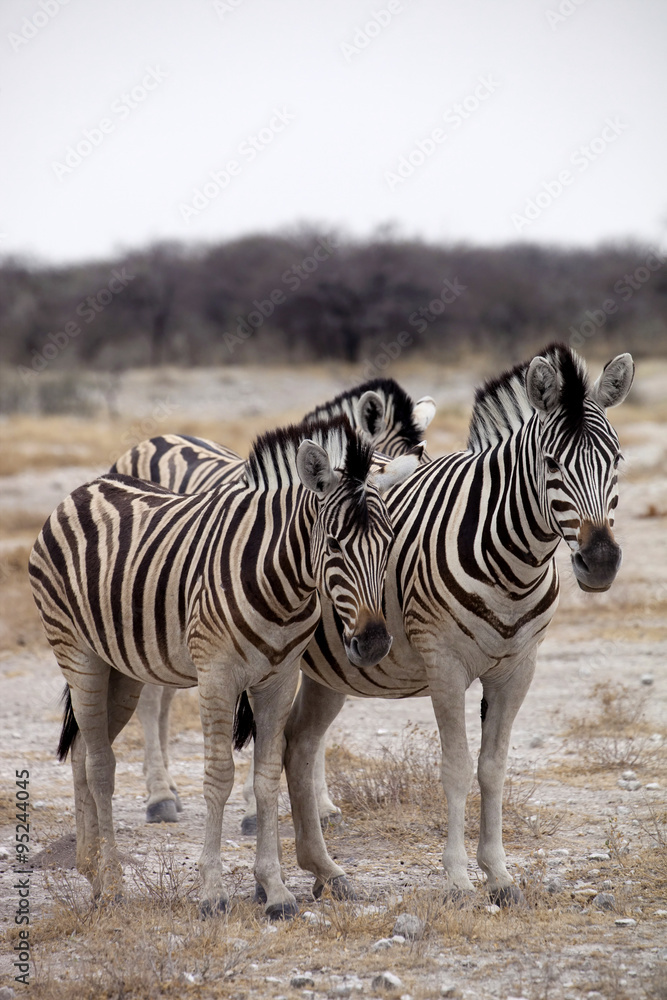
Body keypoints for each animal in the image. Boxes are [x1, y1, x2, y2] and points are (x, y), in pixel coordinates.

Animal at [29, 415, 418, 918]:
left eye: (389, 542)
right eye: (333, 544)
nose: (372, 643)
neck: (282, 585)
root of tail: (84, 488)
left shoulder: (279, 679)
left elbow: (267, 776)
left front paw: (276, 892)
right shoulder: (216, 675)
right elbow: (220, 776)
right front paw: (212, 893)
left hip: (123, 669)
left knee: (81, 752)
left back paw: (91, 871)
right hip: (79, 654)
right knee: (100, 765)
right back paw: (112, 883)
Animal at [110, 379, 436, 824]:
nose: (374, 642)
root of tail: (154, 439)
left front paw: (321, 804)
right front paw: (255, 807)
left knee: (162, 697)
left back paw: (169, 790)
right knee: (148, 700)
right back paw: (159, 797)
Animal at [236, 345, 634, 904]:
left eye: (615, 460)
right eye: (552, 463)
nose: (600, 562)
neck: (512, 560)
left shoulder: (519, 668)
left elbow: (493, 768)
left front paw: (500, 876)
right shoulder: (445, 666)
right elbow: (457, 768)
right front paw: (460, 880)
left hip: (331, 669)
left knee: (300, 745)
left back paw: (326, 871)